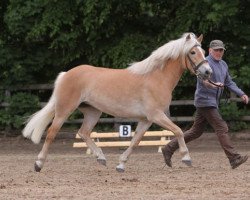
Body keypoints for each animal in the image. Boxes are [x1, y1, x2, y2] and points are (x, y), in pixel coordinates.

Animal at [22, 32, 212, 172]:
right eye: (193, 52)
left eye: (204, 52)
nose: (208, 71)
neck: (156, 77)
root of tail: (66, 74)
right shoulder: (156, 115)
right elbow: (179, 131)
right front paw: (186, 158)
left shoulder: (146, 120)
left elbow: (135, 141)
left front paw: (121, 164)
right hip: (64, 110)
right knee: (52, 133)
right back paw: (38, 164)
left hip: (93, 112)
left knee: (83, 132)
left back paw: (101, 158)